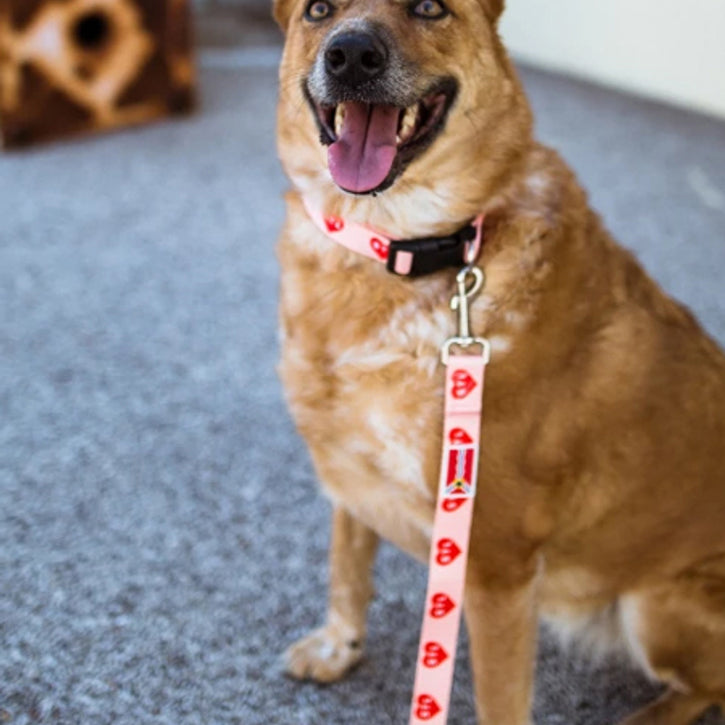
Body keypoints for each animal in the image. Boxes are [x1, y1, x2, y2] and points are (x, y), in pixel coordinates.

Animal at [270, 2, 724, 720]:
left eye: (429, 8)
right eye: (319, 11)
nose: (351, 56)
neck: (410, 247)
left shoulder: (495, 565)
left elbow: (500, 697)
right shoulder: (349, 470)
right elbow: (347, 566)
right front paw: (340, 644)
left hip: (657, 605)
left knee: (707, 684)